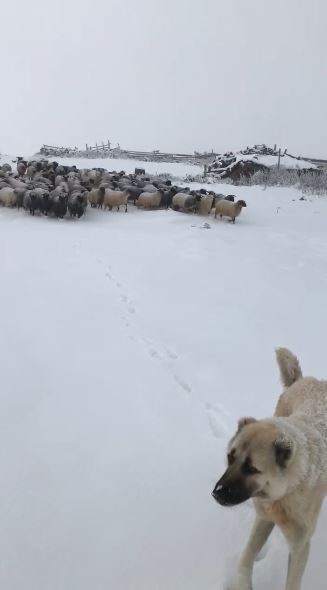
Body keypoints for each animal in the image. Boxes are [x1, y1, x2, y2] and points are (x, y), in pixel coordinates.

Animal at [211, 350, 327, 588]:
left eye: (251, 468)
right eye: (230, 457)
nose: (216, 494)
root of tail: (303, 379)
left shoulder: (301, 545)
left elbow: (292, 582)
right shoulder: (263, 517)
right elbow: (247, 556)